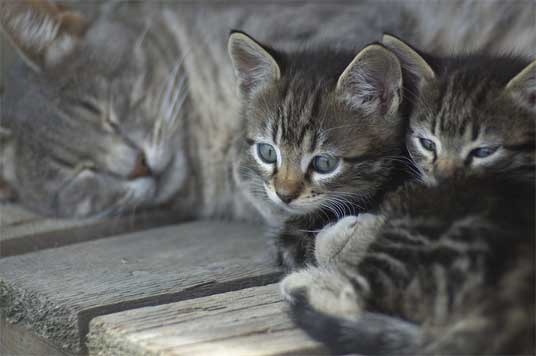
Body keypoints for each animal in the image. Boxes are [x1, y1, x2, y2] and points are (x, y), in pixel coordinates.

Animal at [280, 36, 536, 356]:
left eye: (484, 152)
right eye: (427, 143)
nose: (444, 180)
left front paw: (343, 236)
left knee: (355, 298)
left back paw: (300, 284)